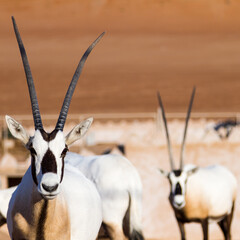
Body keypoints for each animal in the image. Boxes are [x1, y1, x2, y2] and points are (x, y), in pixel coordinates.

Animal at [157, 88, 237, 240]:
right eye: (169, 180)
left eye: (186, 180)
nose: (178, 202)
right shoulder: (180, 221)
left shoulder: (204, 220)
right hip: (219, 218)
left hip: (229, 212)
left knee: (229, 234)